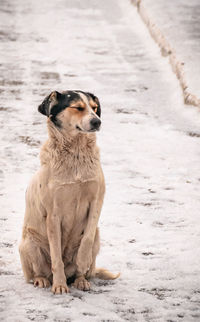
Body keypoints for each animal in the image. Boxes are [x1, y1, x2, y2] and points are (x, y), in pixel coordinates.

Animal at [18, 89, 119, 294]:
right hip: (29, 243)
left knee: (83, 267)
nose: (97, 121)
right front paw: (59, 285)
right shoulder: (53, 214)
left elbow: (86, 241)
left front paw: (82, 261)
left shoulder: (96, 201)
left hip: (97, 237)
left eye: (94, 108)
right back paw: (44, 280)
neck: (76, 152)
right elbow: (56, 256)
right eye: (78, 107)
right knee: (38, 272)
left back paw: (81, 280)